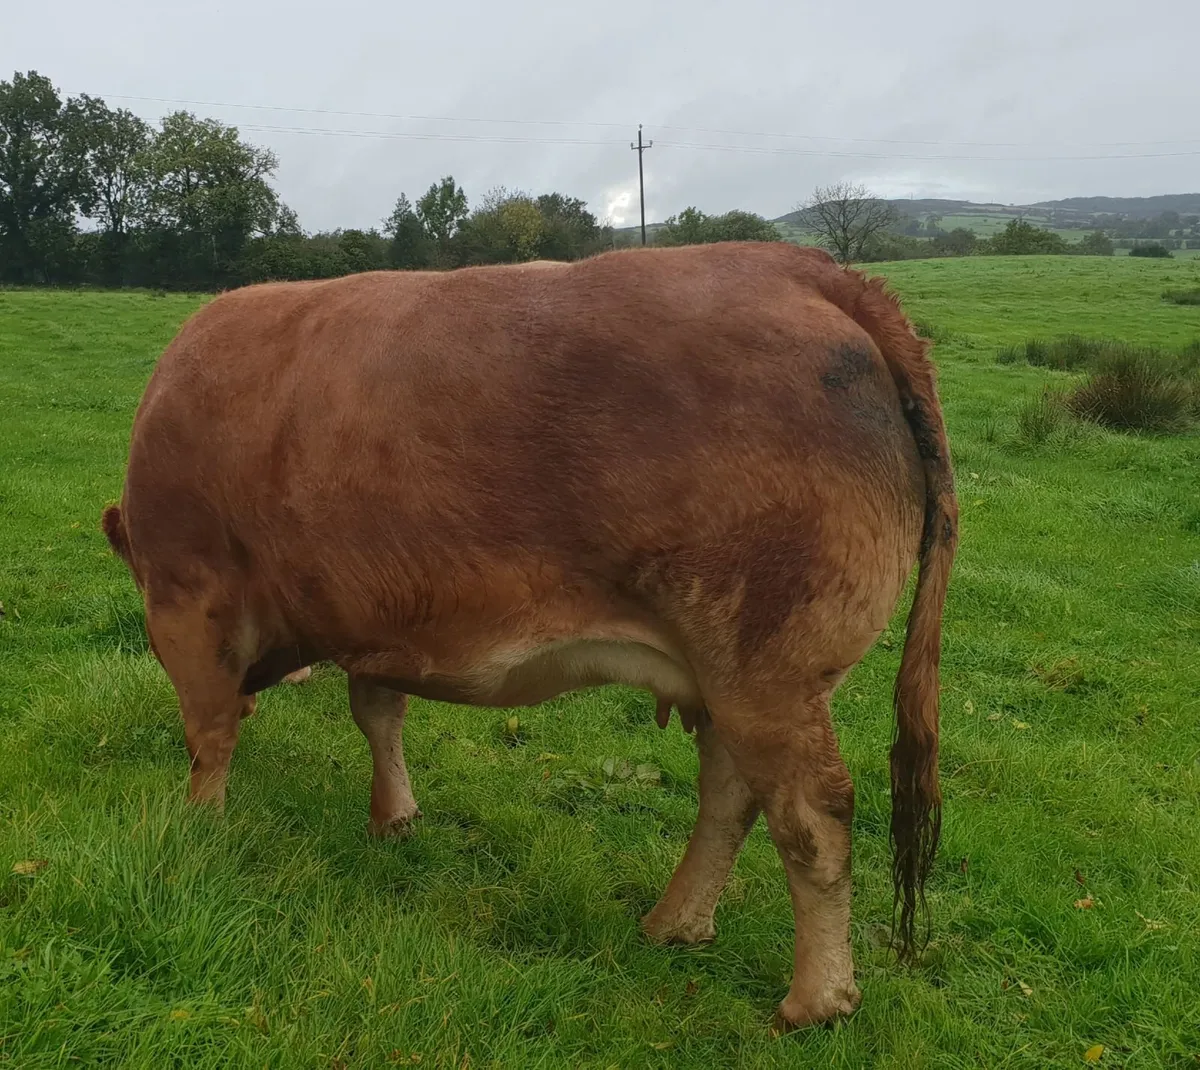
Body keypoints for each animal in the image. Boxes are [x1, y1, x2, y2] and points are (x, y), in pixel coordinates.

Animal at [101, 242, 957, 1029]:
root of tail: (805, 267)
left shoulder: (188, 596)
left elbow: (209, 731)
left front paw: (199, 828)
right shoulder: (376, 615)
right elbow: (378, 714)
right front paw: (394, 815)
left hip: (768, 666)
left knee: (812, 817)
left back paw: (816, 999)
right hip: (732, 677)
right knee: (732, 795)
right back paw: (676, 923)